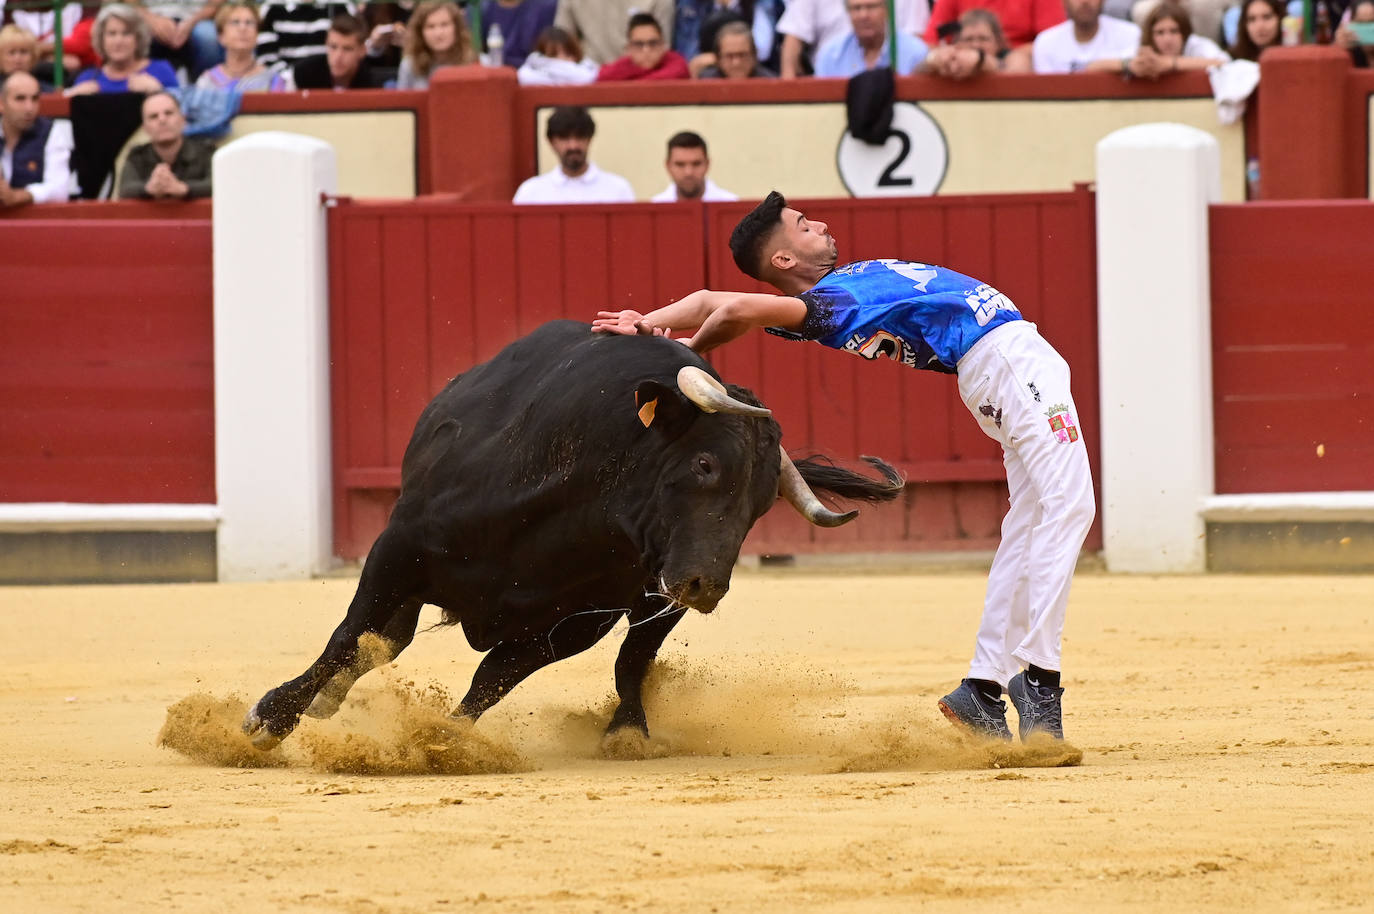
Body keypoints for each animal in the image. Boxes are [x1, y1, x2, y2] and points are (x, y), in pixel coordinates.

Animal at [243, 320, 901, 747]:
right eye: (704, 465)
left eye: (763, 503)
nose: (706, 585)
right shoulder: (400, 549)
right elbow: (350, 636)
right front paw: (269, 718)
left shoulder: (582, 619)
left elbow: (495, 677)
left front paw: (443, 738)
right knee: (382, 640)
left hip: (654, 599)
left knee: (633, 660)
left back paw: (627, 732)